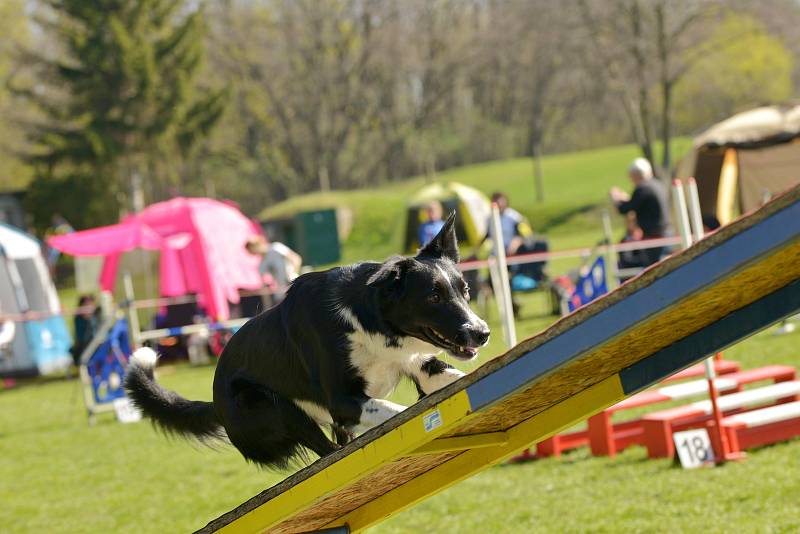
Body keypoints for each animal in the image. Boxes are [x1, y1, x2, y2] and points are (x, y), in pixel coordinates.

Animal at [124, 214, 488, 468]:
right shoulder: (342, 400)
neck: (369, 322)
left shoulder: (419, 365)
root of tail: (215, 401)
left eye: (465, 290)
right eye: (433, 297)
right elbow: (391, 411)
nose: (482, 333)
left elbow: (452, 377)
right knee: (327, 452)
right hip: (268, 404)